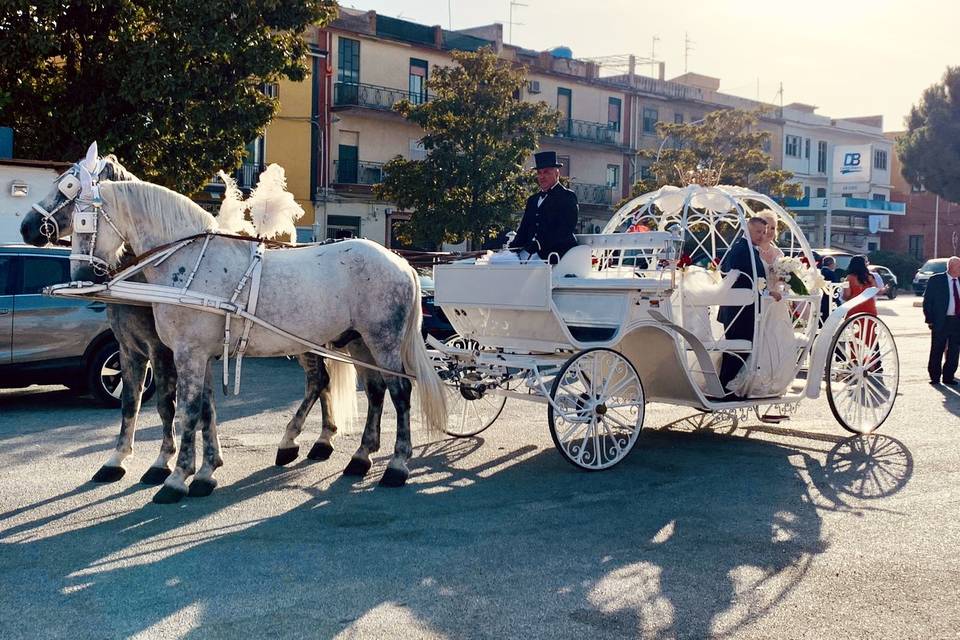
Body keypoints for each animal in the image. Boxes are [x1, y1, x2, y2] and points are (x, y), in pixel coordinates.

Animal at [18, 146, 356, 484]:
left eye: (68, 187)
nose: (27, 226)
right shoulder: (130, 350)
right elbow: (135, 403)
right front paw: (120, 459)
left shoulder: (164, 351)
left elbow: (168, 406)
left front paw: (164, 463)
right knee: (323, 381)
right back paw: (322, 438)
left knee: (317, 380)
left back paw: (299, 441)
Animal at [70, 178, 446, 502]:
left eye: (84, 221)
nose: (81, 275)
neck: (188, 262)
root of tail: (402, 263)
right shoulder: (200, 356)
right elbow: (204, 411)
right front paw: (204, 473)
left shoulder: (186, 354)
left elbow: (186, 412)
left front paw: (176, 479)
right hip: (359, 342)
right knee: (373, 392)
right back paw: (360, 457)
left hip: (383, 340)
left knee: (400, 392)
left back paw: (396, 465)